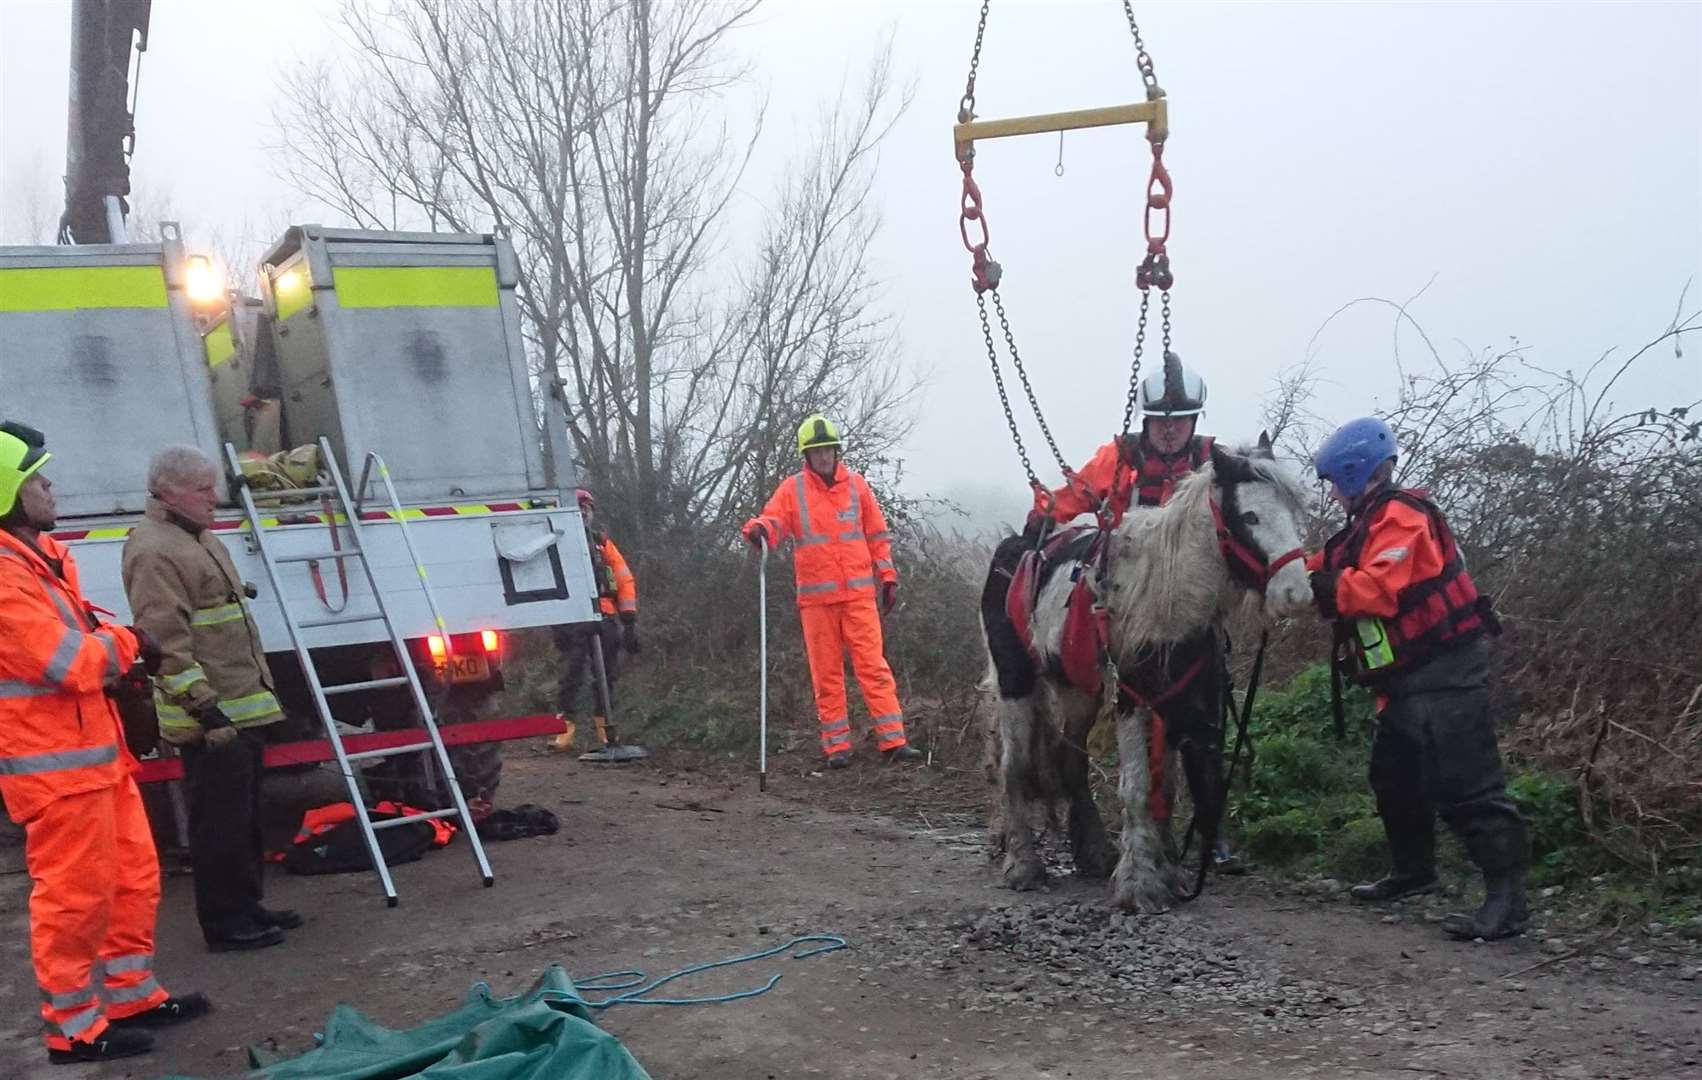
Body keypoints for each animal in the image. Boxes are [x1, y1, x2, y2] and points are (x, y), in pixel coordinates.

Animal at [980, 435, 1307, 918]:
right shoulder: (1134, 698)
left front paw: (1165, 872)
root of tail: (1019, 547)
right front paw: (1139, 884)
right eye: (1250, 516)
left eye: (1294, 511)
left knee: (1070, 760)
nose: (1297, 593)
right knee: (1016, 767)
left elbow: (1164, 788)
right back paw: (1023, 863)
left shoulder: (1179, 699)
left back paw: (1094, 852)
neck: (1165, 592)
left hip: (1079, 690)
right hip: (1015, 681)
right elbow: (1136, 788)